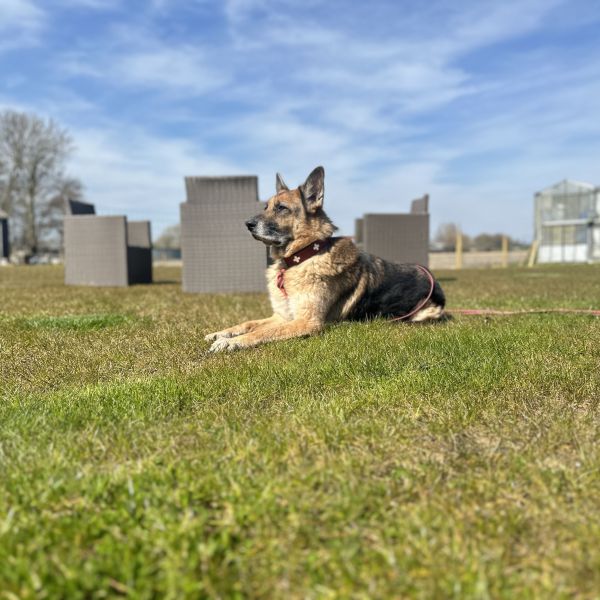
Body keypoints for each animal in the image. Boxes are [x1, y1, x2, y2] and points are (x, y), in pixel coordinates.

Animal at [206, 164, 446, 352]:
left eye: (281, 208)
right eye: (266, 207)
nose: (247, 224)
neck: (301, 258)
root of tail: (433, 279)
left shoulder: (306, 322)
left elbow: (261, 332)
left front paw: (232, 342)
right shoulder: (282, 317)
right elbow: (249, 323)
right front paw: (222, 333)